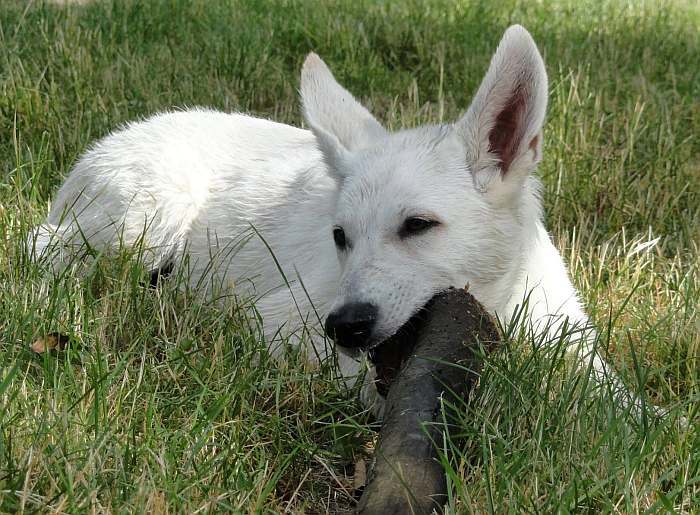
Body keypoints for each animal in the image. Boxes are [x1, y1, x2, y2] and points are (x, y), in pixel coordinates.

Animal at [31, 24, 636, 412]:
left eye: (418, 225)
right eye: (340, 237)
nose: (345, 325)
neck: (501, 299)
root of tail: (109, 140)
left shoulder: (575, 345)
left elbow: (624, 408)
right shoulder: (275, 319)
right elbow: (353, 376)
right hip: (151, 216)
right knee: (46, 247)